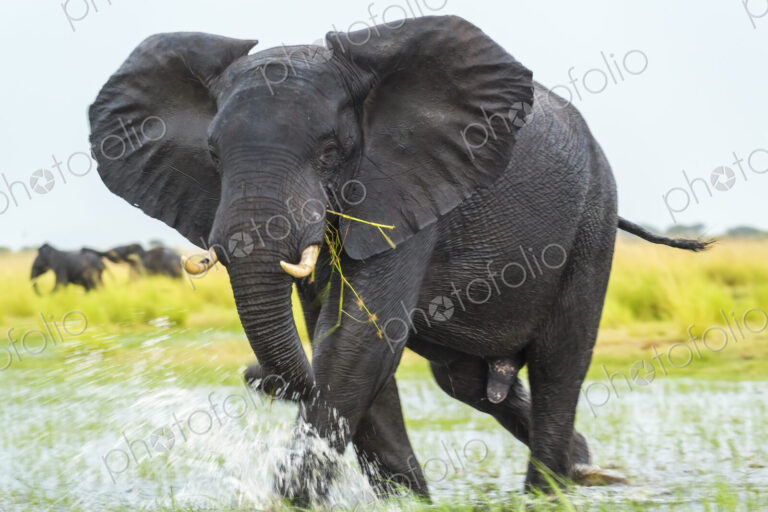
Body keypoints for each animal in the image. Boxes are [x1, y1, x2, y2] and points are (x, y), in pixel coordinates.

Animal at [88, 16, 709, 502]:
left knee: (561, 365)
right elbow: (342, 345)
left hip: (592, 222)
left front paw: (294, 494)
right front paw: (410, 499)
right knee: (466, 384)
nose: (254, 376)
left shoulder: (403, 185)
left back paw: (552, 489)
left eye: (330, 151)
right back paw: (586, 468)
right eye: (213, 155)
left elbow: (357, 341)